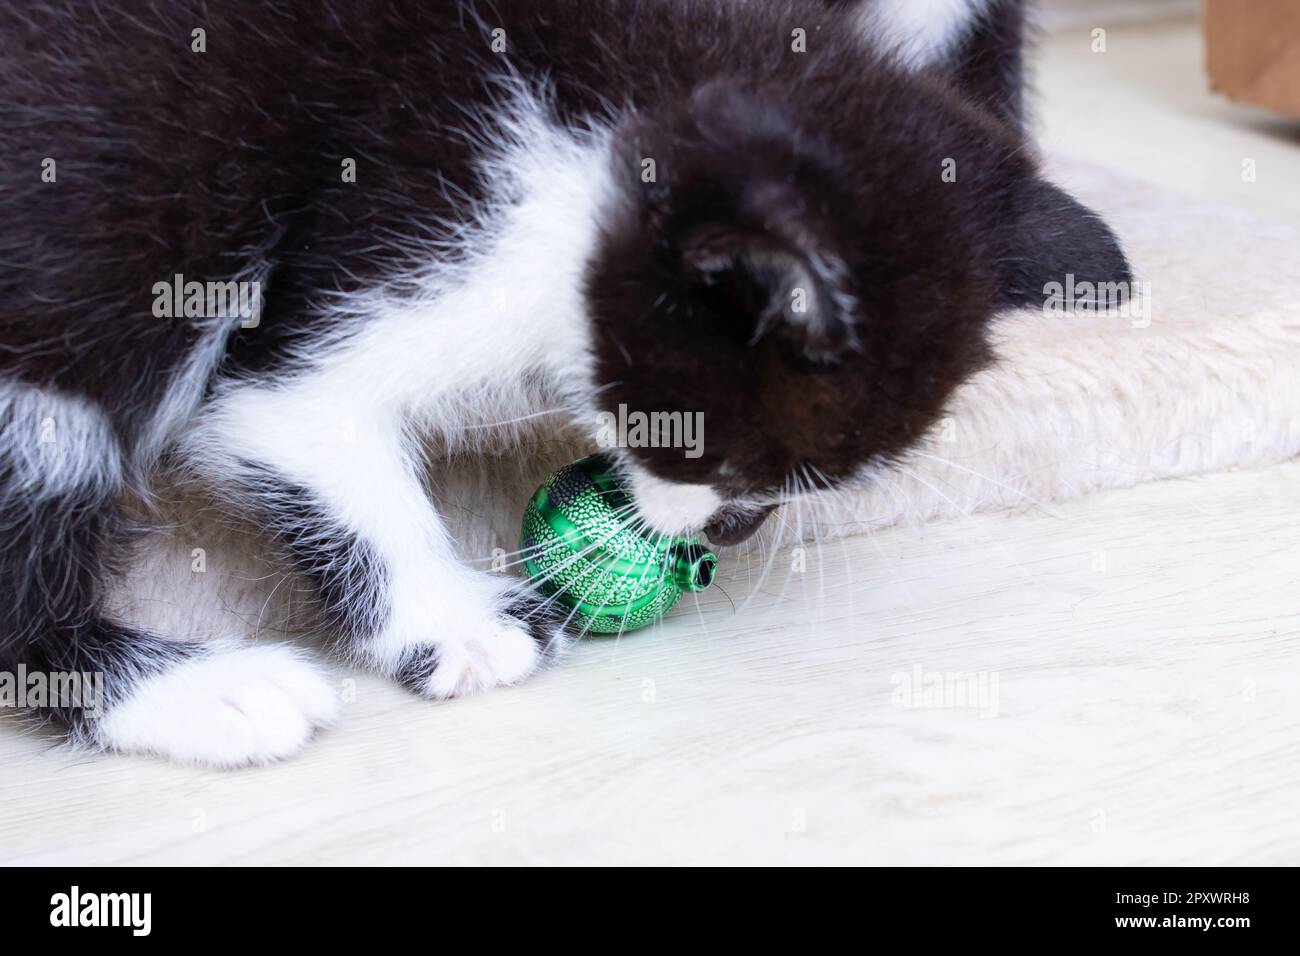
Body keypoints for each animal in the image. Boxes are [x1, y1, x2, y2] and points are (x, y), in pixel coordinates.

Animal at [0, 0, 1128, 764]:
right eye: (736, 455)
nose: (735, 533)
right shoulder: (419, 224)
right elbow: (289, 414)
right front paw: (454, 625)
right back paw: (194, 690)